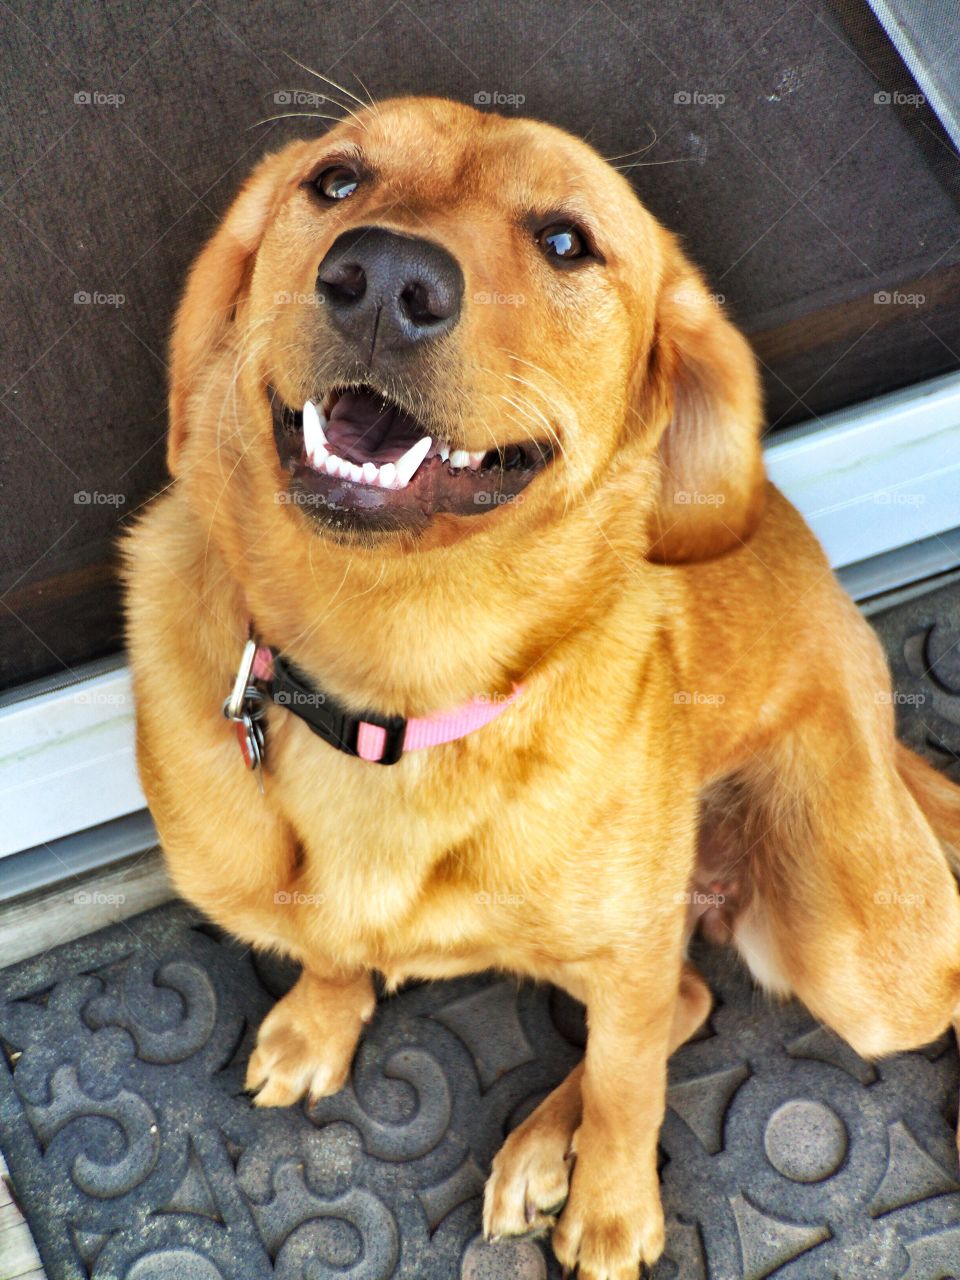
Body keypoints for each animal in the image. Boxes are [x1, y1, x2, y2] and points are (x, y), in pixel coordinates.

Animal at [124, 97, 960, 1280]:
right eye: (335, 181)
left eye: (566, 241)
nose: (383, 277)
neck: (390, 681)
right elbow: (332, 947)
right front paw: (317, 1021)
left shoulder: (628, 953)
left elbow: (628, 1084)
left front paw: (611, 1205)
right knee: (685, 993)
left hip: (864, 962)